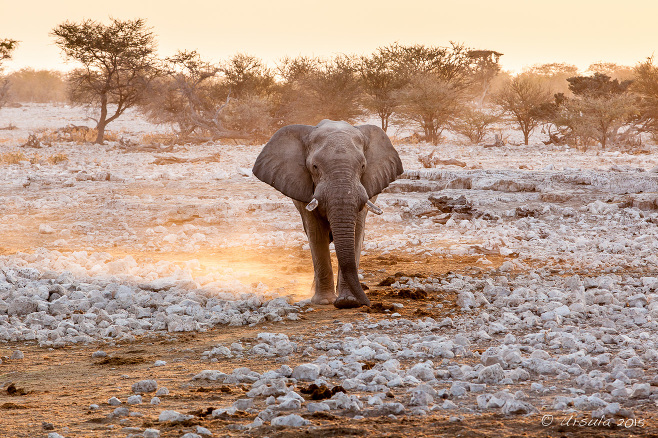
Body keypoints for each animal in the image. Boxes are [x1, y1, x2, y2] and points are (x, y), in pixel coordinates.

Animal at [251, 120, 402, 308]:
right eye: (314, 167)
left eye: (363, 166)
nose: (368, 304)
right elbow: (316, 234)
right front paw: (324, 301)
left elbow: (356, 232)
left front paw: (348, 301)